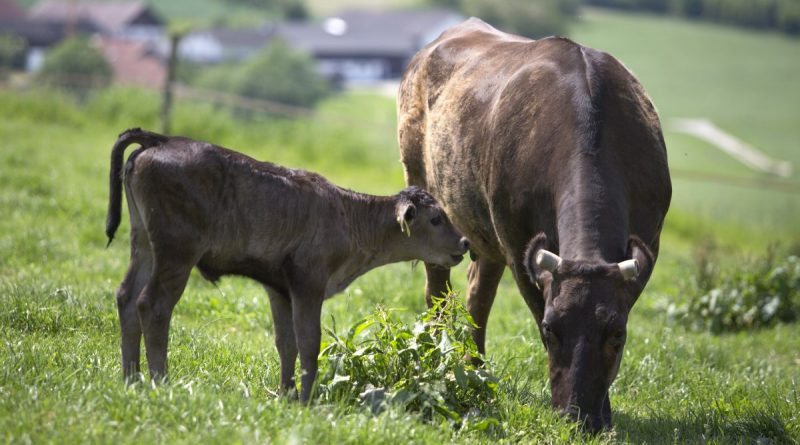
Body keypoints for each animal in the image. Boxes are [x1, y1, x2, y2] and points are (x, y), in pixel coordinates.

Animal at [106, 126, 468, 400]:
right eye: (436, 219)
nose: (464, 242)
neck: (347, 216)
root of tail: (163, 139)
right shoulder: (309, 283)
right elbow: (308, 343)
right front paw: (307, 399)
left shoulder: (278, 288)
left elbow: (286, 343)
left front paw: (286, 394)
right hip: (176, 252)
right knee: (152, 305)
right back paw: (161, 383)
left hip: (144, 244)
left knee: (126, 297)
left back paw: (130, 379)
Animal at [396, 18, 672, 430]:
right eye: (549, 329)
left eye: (617, 335)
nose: (578, 415)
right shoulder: (518, 248)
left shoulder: (647, 248)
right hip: (426, 196)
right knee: (438, 293)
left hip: (484, 231)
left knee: (478, 296)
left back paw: (475, 368)